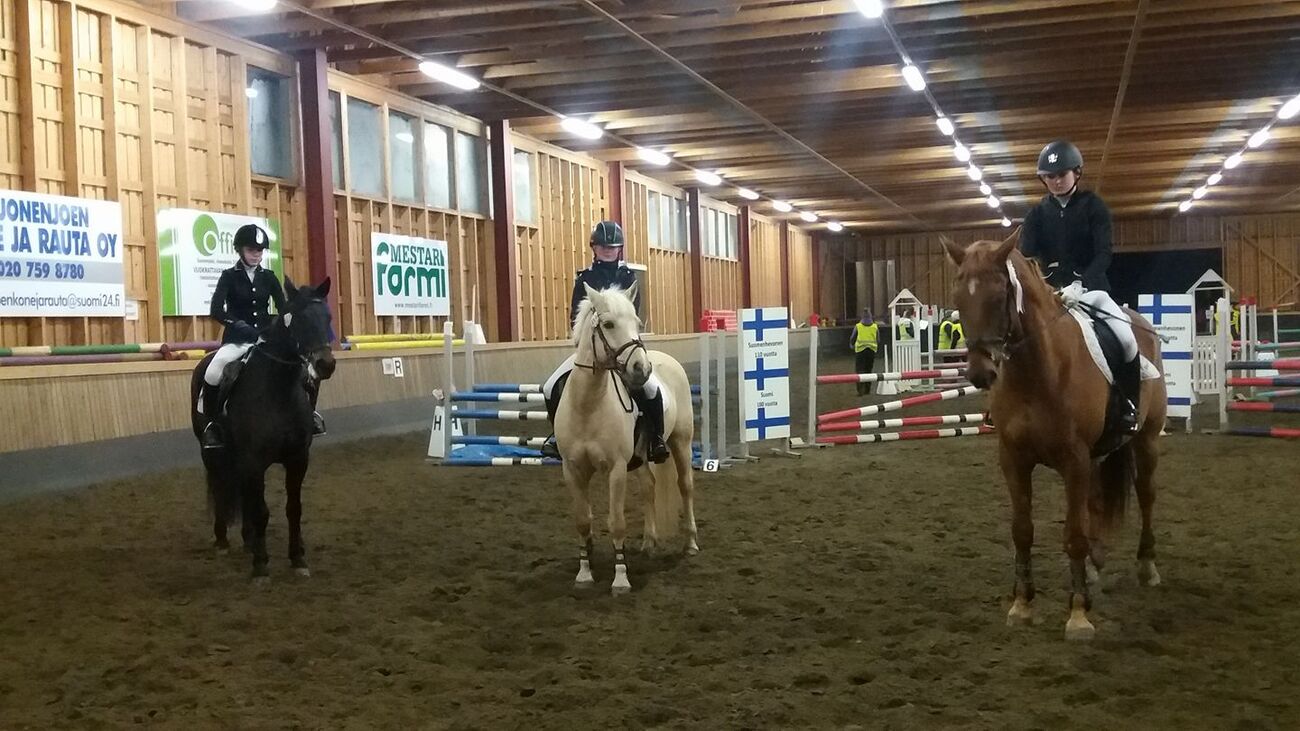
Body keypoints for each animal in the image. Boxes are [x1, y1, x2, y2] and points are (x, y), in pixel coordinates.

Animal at [189, 277, 337, 581]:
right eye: (298, 318)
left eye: (327, 317)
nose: (325, 365)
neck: (278, 390)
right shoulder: (255, 460)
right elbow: (261, 510)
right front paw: (260, 565)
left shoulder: (297, 459)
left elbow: (293, 508)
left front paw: (298, 559)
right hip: (211, 453)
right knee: (221, 489)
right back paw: (223, 541)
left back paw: (248, 541)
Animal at [555, 283, 699, 595]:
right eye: (608, 324)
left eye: (637, 323)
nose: (641, 369)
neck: (588, 405)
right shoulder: (572, 469)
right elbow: (582, 521)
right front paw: (584, 573)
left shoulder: (617, 469)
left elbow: (617, 523)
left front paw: (620, 579)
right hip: (642, 457)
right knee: (649, 487)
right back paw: (648, 542)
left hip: (680, 442)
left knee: (685, 486)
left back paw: (691, 543)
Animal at [941, 232, 1166, 640]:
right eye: (958, 298)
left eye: (999, 295)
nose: (981, 373)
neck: (1036, 372)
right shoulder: (1014, 460)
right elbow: (1022, 531)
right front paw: (1022, 605)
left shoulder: (1074, 460)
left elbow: (1073, 535)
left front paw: (1078, 615)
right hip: (1097, 457)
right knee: (1095, 501)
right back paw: (1094, 567)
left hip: (1146, 441)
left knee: (1146, 497)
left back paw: (1146, 567)